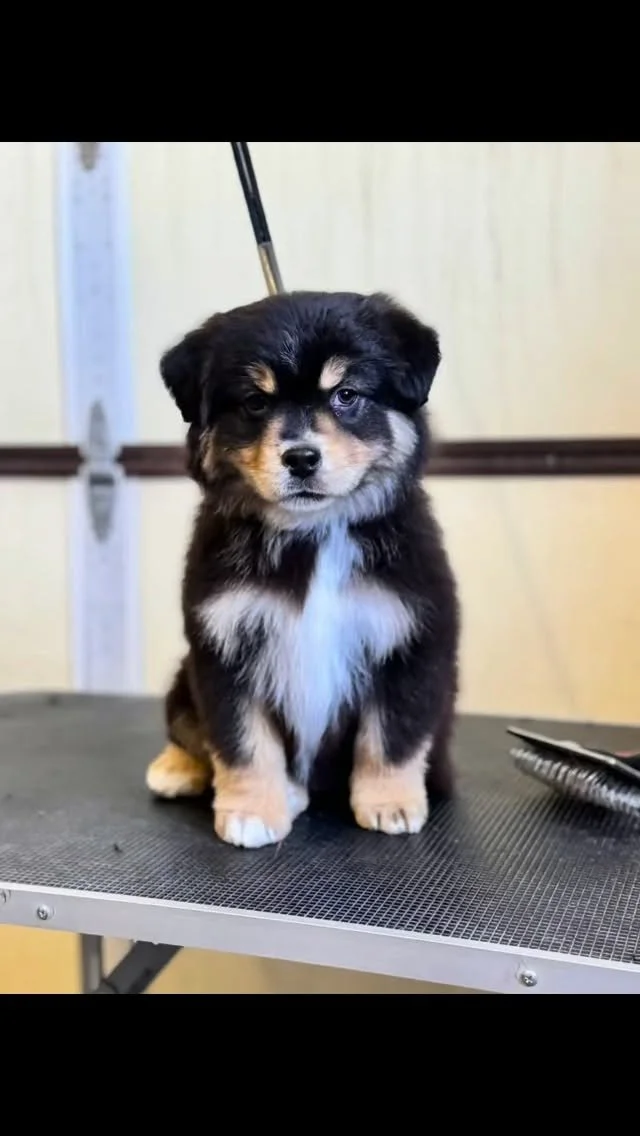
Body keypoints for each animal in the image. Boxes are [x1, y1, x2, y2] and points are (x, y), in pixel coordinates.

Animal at [145, 290, 460, 848]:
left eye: (347, 395)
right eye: (255, 402)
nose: (301, 458)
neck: (313, 534)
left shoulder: (411, 640)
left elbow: (393, 735)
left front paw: (390, 803)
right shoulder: (224, 646)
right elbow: (241, 740)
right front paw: (252, 811)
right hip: (185, 675)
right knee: (187, 727)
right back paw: (177, 769)